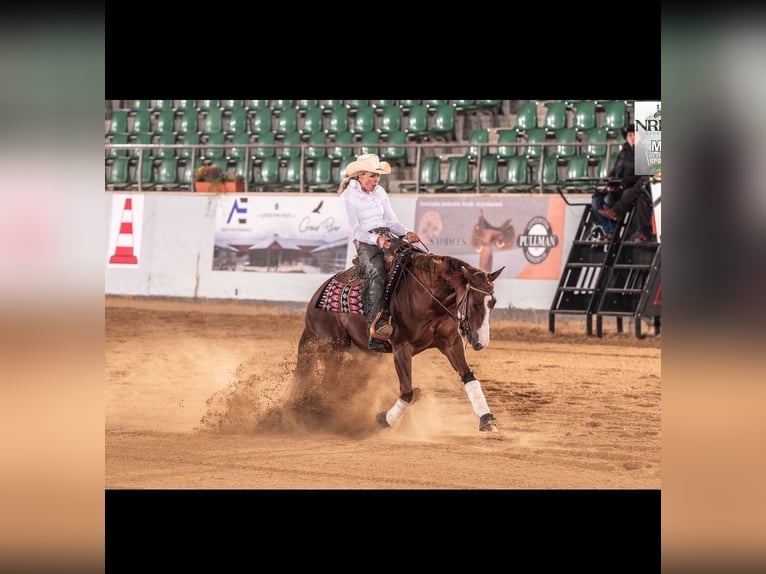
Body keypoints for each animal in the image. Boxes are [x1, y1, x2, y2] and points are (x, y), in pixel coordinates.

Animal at [294, 236, 504, 434]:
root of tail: (316, 297)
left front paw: (487, 419)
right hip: (331, 347)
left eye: (493, 303)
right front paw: (385, 420)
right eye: (475, 304)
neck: (428, 298)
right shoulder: (401, 347)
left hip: (361, 352)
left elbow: (469, 377)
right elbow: (407, 391)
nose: (481, 342)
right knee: (329, 382)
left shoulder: (451, 343)